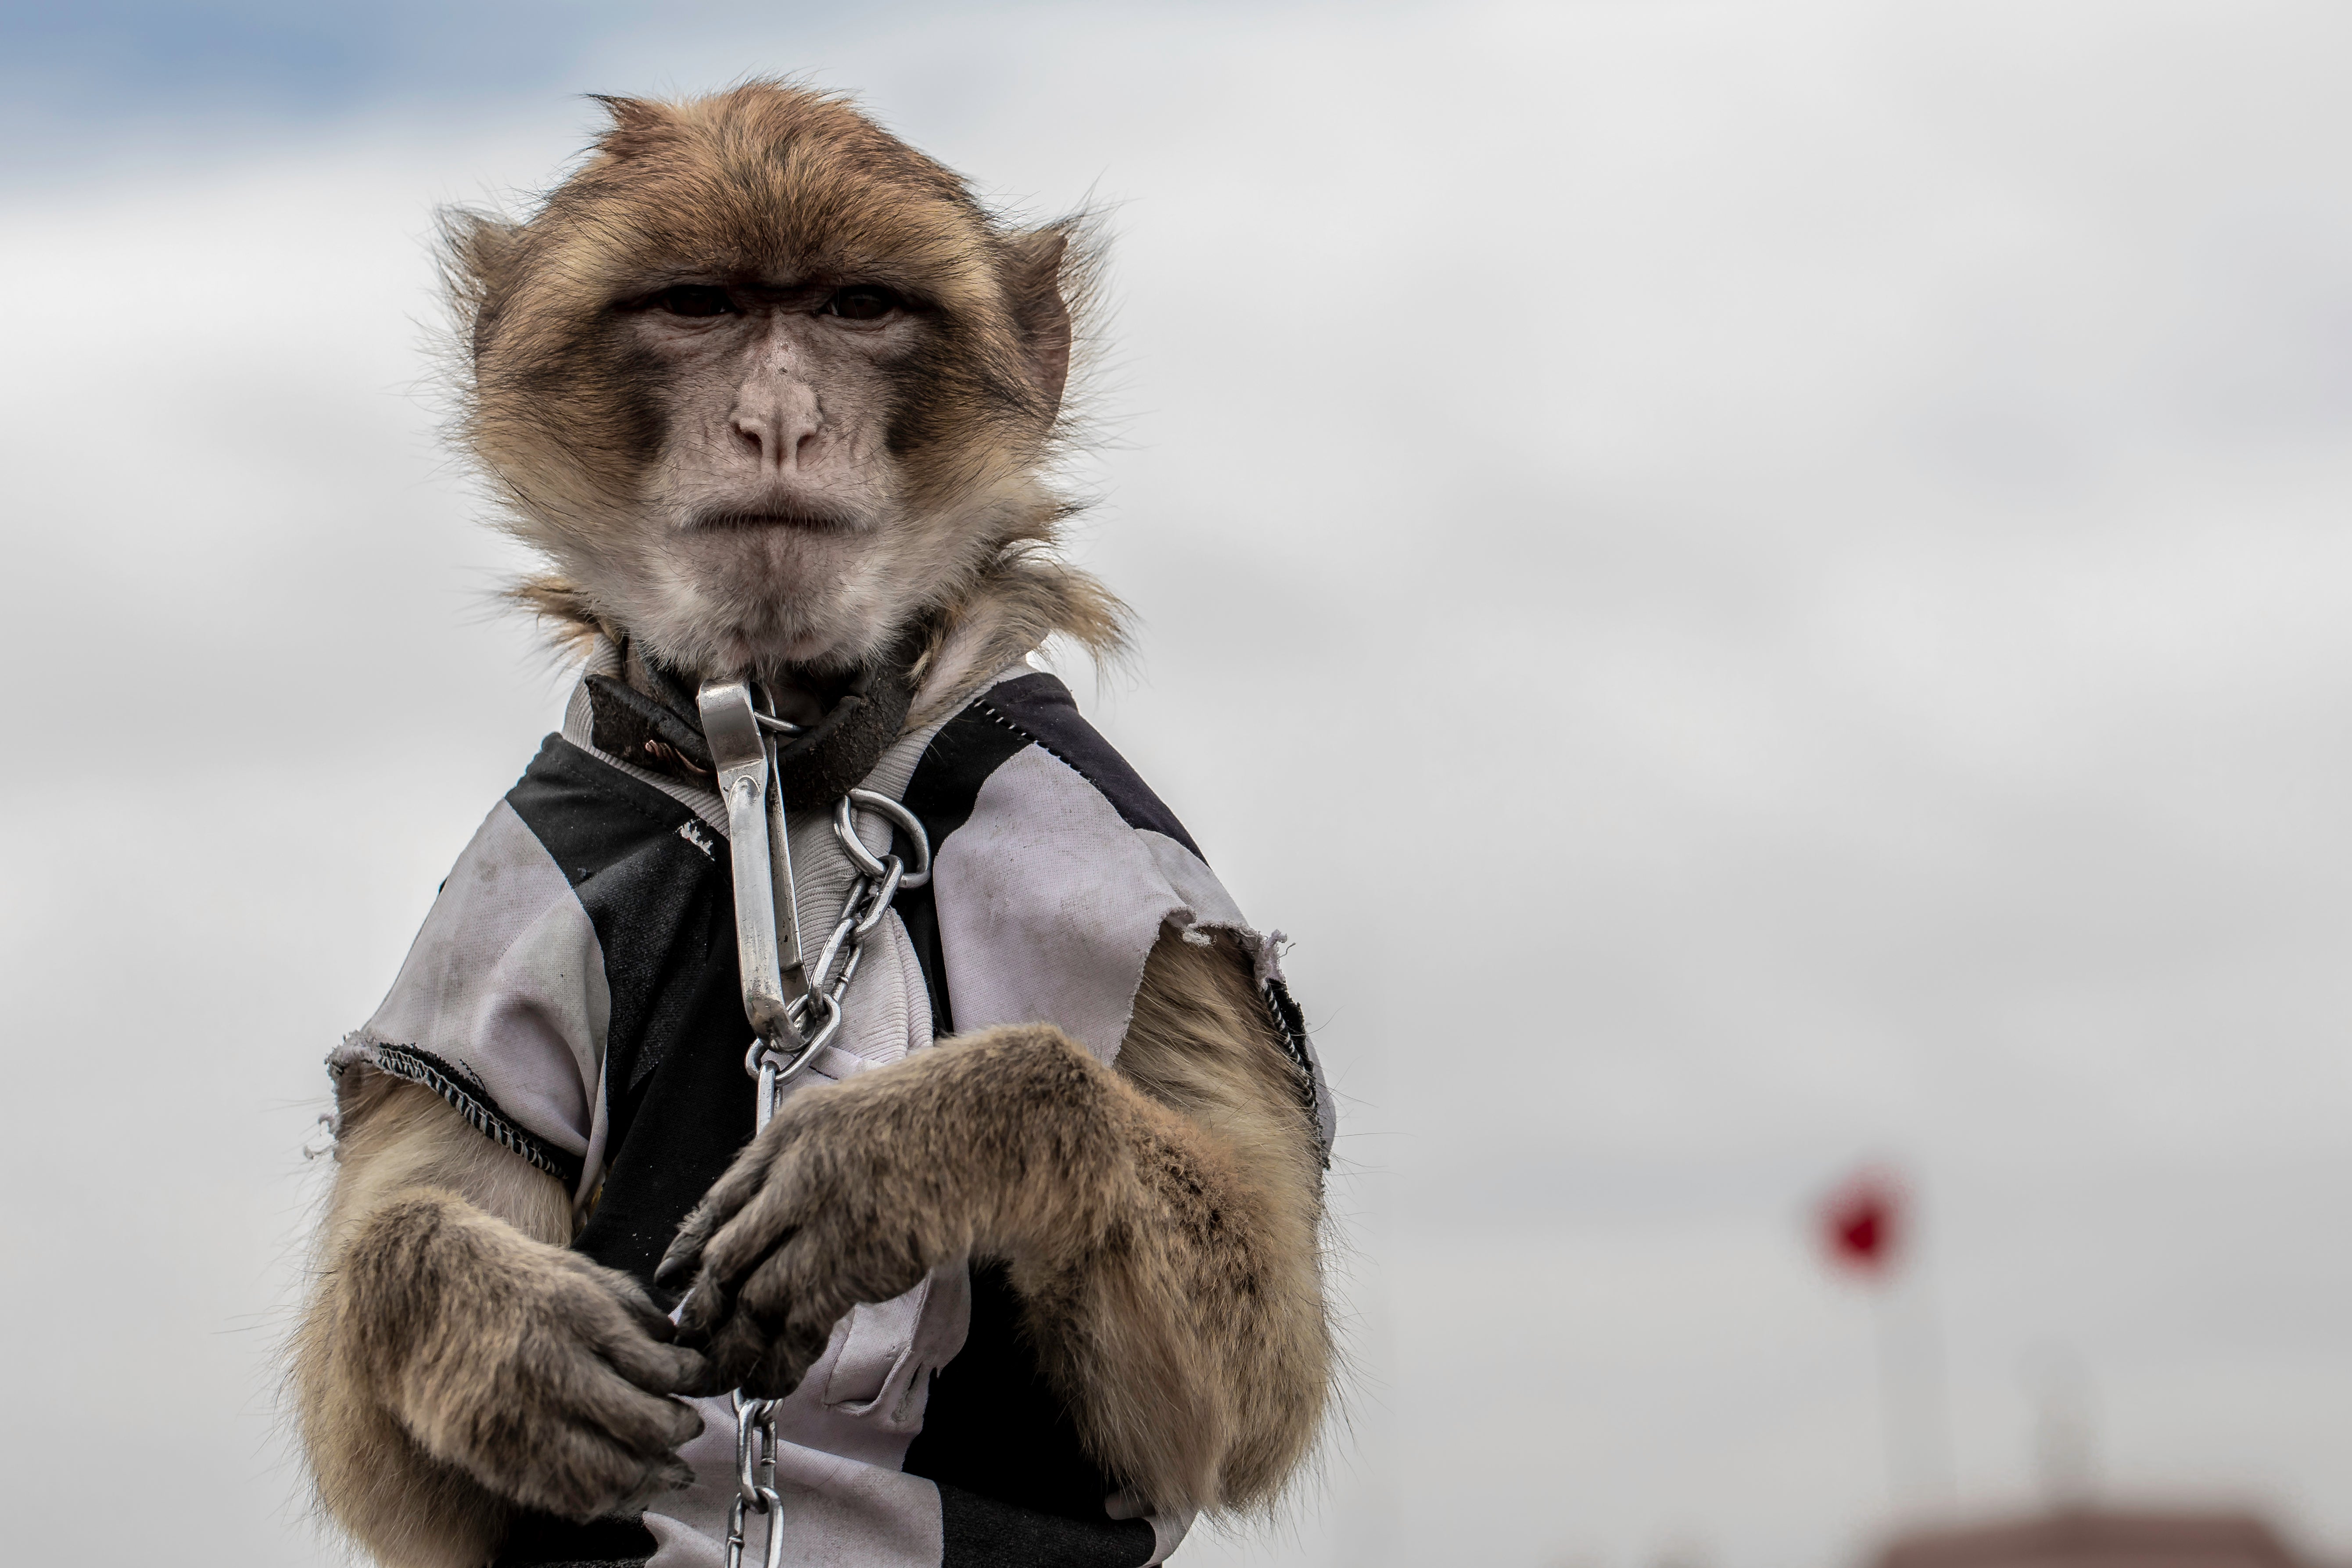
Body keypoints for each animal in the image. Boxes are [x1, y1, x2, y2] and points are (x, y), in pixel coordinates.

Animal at [294, 83, 1336, 1568]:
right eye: (697, 305)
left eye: (857, 308)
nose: (778, 423)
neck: (780, 755)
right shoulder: (528, 877)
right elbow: (403, 1476)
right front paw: (490, 1328)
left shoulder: (1109, 839)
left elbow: (1240, 1398)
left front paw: (916, 1147)